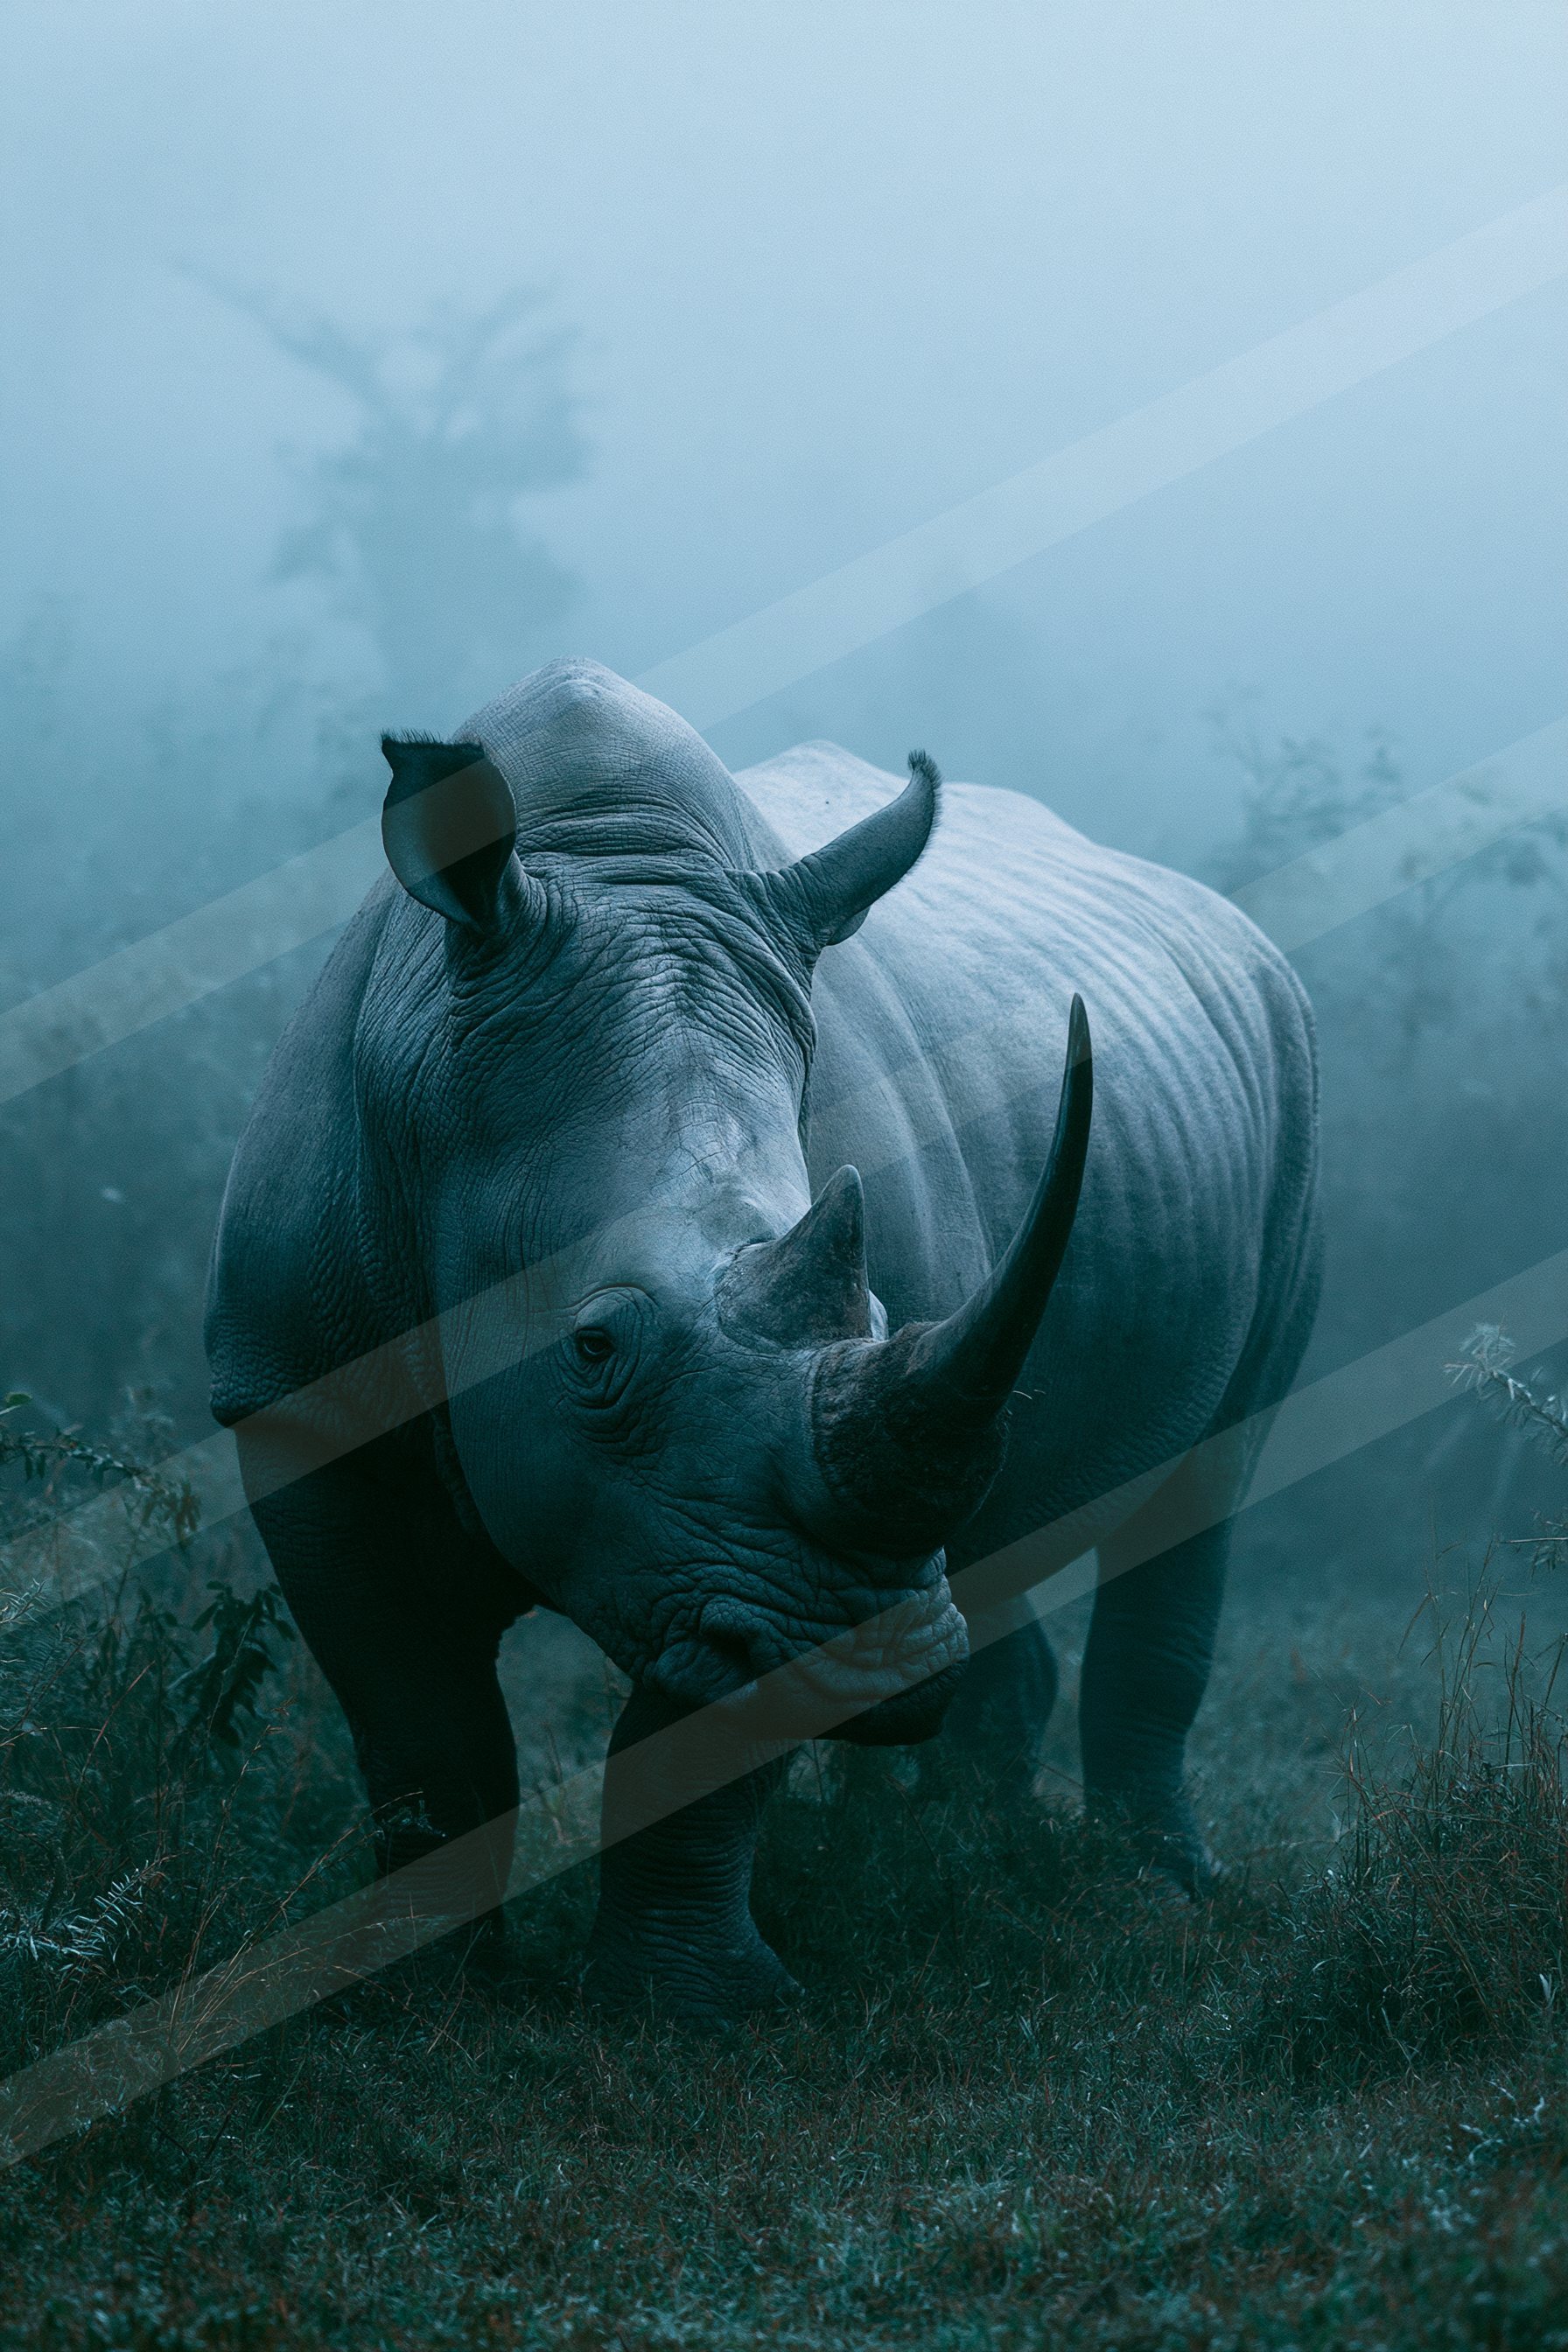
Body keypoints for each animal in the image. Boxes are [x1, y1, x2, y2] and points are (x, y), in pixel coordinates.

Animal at [205, 657, 1320, 2019]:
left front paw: (691, 2013)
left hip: (1293, 1068)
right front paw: (418, 1999)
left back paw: (1145, 1889)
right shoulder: (298, 1401)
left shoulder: (757, 1542)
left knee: (1210, 1472)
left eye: (885, 1311)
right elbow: (417, 1723)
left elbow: (699, 1747)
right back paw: (955, 1845)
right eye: (592, 1348)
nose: (873, 1668)